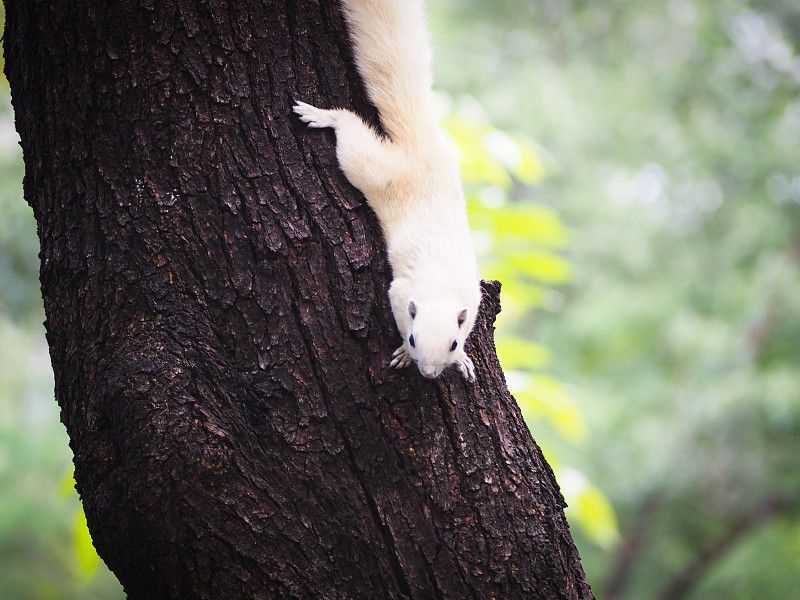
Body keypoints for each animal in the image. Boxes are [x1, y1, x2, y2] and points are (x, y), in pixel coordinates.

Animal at [296, 0, 478, 382]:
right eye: (412, 338)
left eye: (453, 343)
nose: (429, 373)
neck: (439, 288)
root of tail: (420, 144)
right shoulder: (400, 292)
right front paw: (405, 358)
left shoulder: (472, 299)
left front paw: (464, 360)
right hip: (370, 167)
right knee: (348, 126)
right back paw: (322, 116)